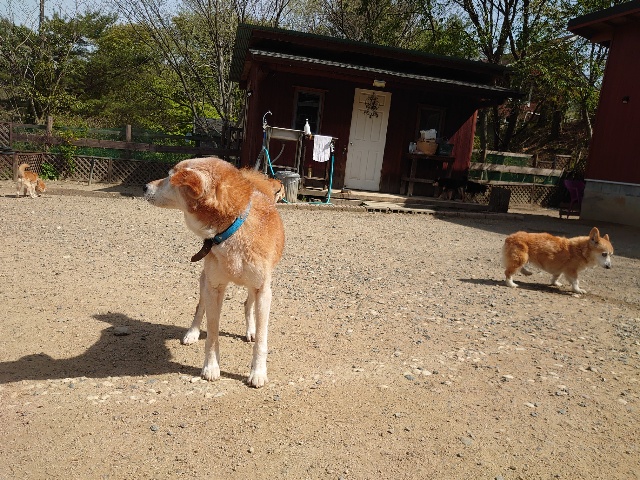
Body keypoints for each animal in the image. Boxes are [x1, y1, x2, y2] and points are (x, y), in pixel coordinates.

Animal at [144, 157, 285, 387]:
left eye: (169, 177)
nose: (144, 187)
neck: (232, 229)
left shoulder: (263, 289)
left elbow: (262, 341)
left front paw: (258, 372)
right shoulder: (214, 287)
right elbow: (211, 335)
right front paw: (211, 367)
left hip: (254, 286)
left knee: (247, 305)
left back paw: (250, 331)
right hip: (204, 281)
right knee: (199, 308)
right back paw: (192, 333)